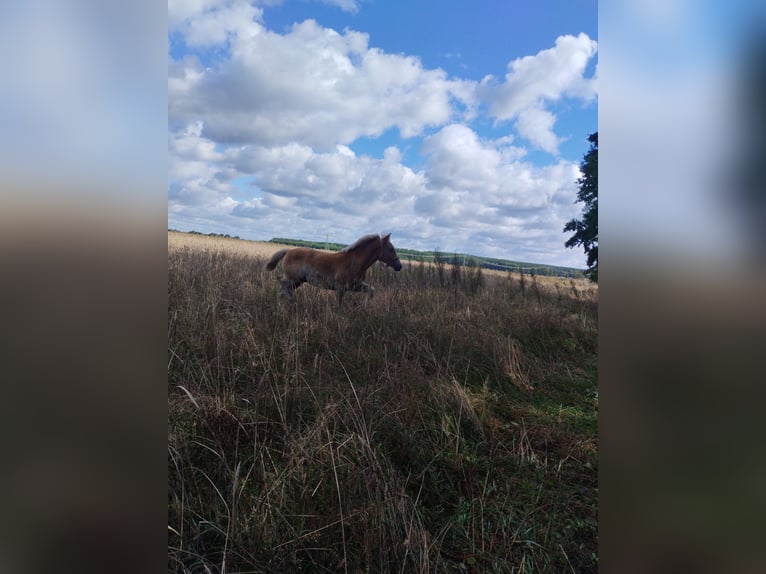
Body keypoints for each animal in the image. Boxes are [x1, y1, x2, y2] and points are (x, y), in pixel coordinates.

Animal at [268, 234, 404, 306]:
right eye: (390, 249)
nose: (399, 266)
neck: (353, 262)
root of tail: (288, 251)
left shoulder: (355, 286)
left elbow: (371, 290)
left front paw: (366, 306)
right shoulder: (340, 288)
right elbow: (339, 304)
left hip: (298, 281)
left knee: (283, 289)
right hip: (293, 278)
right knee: (281, 281)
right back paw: (291, 301)